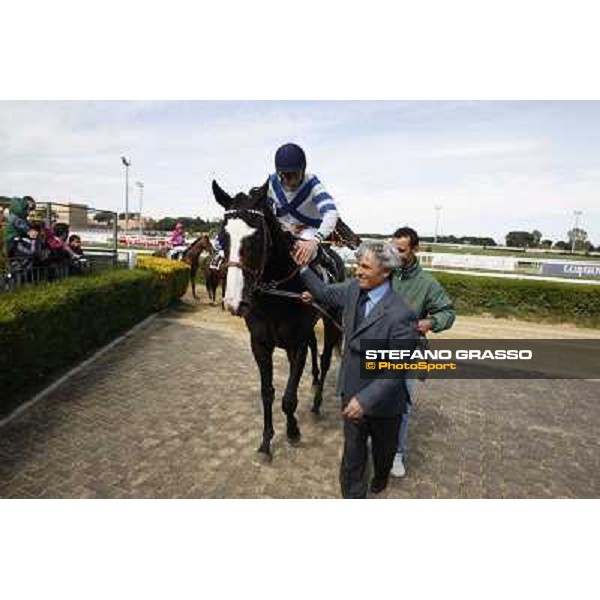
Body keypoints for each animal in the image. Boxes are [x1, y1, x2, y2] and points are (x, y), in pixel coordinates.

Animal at [212, 178, 344, 460]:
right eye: (222, 237)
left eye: (256, 237)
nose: (234, 302)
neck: (276, 293)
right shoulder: (261, 344)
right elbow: (267, 393)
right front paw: (266, 440)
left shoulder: (296, 345)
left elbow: (289, 398)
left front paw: (293, 432)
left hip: (331, 321)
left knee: (326, 357)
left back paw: (317, 401)